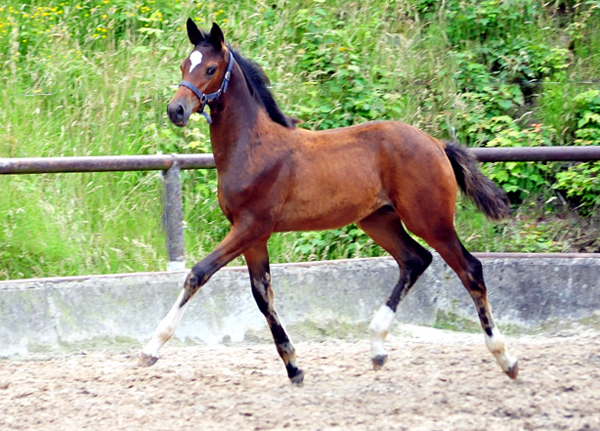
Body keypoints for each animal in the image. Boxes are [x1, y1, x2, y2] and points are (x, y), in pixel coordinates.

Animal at [138, 20, 516, 384]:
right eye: (184, 64)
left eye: (211, 68)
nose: (176, 110)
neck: (252, 147)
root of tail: (437, 144)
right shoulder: (254, 236)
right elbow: (262, 295)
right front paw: (293, 367)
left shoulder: (251, 227)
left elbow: (198, 274)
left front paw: (151, 348)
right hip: (378, 220)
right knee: (415, 260)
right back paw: (377, 347)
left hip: (430, 219)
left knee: (470, 270)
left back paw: (506, 358)